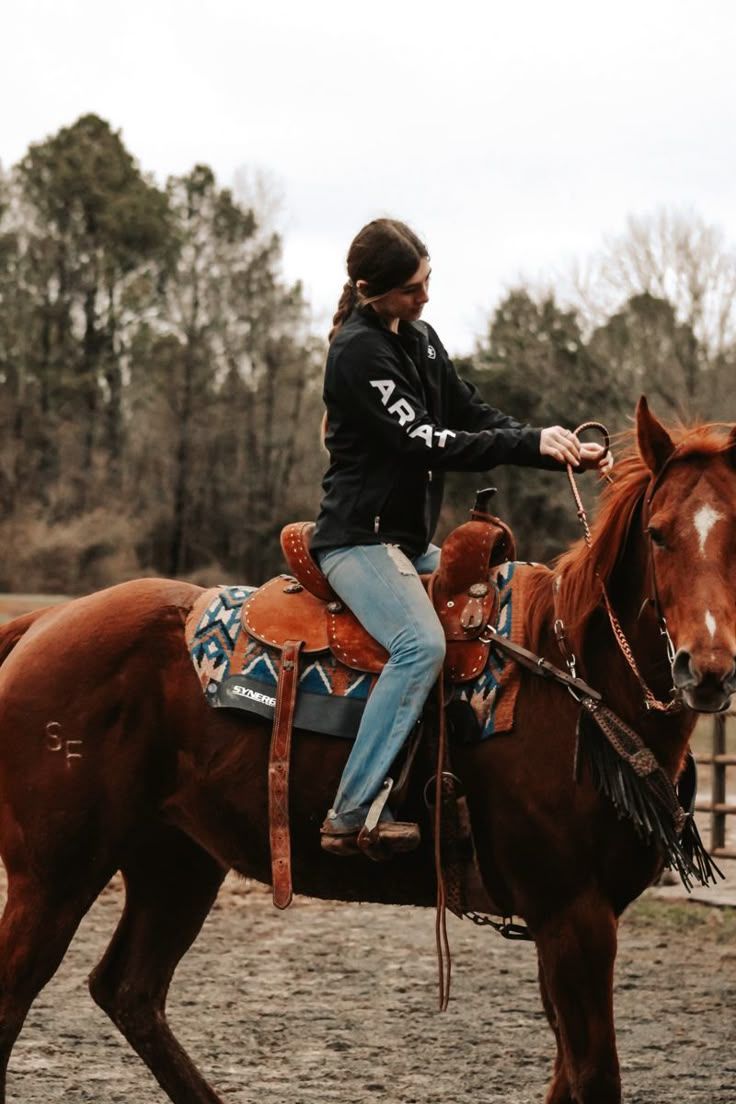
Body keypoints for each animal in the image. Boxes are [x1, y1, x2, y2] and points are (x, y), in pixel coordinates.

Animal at [0, 399, 732, 1104]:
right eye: (659, 533)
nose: (707, 669)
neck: (570, 680)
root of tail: (42, 621)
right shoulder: (571, 914)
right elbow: (593, 1075)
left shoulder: (577, 921)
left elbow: (568, 1077)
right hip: (54, 878)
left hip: (175, 861)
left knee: (130, 990)